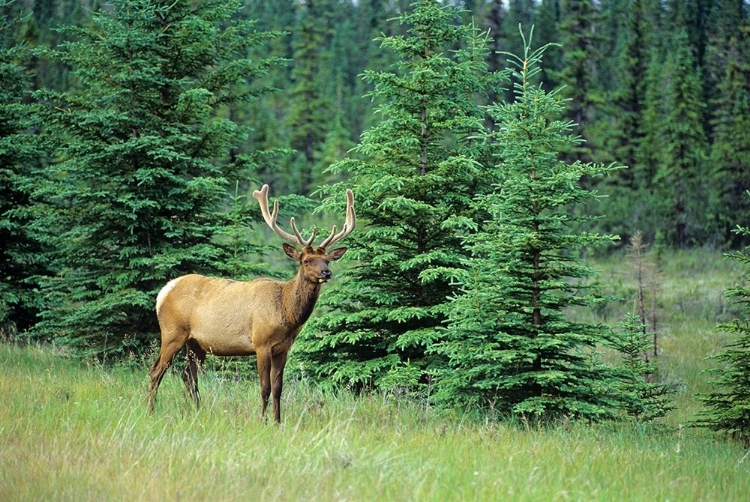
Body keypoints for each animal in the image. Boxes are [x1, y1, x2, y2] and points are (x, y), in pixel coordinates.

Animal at [150, 183, 358, 420]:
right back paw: (151, 411)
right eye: (306, 261)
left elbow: (278, 388)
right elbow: (265, 387)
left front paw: (278, 421)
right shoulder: (261, 344)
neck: (286, 313)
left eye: (326, 260)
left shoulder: (283, 349)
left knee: (188, 376)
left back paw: (197, 410)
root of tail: (163, 292)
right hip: (172, 333)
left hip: (196, 343)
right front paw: (262, 420)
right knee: (156, 371)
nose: (326, 272)